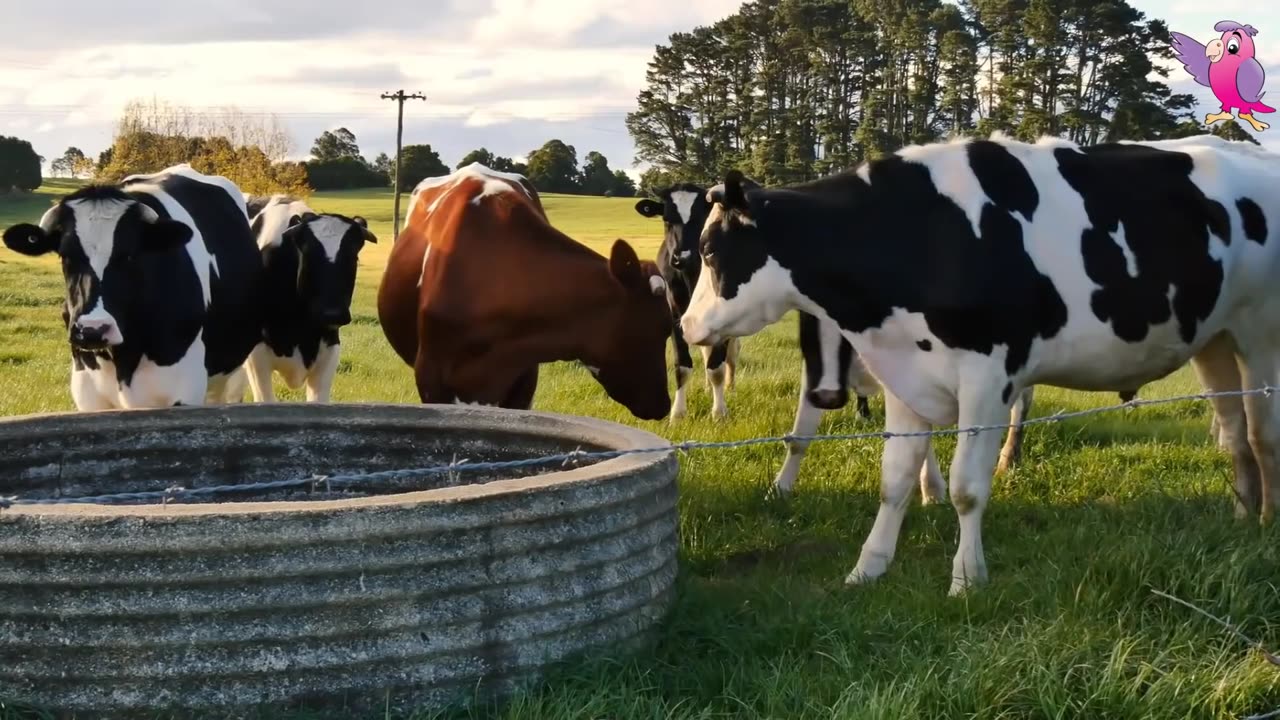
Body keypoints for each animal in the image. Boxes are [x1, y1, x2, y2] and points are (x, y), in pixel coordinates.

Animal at [0, 163, 262, 409]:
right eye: (66, 256)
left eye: (129, 255)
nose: (93, 330)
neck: (125, 357)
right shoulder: (88, 392)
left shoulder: (182, 389)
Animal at [680, 134, 1280, 594]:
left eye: (710, 251)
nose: (686, 325)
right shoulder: (904, 376)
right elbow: (894, 480)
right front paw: (868, 568)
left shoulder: (990, 378)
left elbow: (968, 487)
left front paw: (967, 579)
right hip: (1214, 338)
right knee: (1233, 431)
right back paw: (1240, 513)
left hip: (1260, 333)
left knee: (1261, 432)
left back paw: (1267, 521)